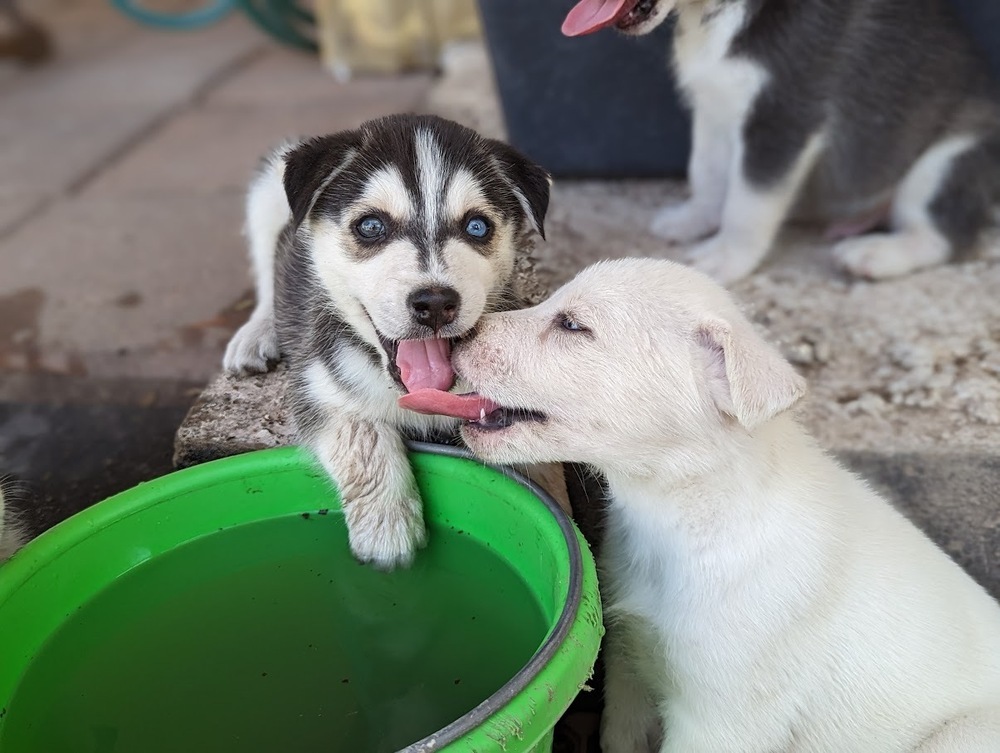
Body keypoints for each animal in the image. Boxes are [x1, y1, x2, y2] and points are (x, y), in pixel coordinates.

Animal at [225, 114, 564, 568]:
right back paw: (256, 334)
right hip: (267, 192)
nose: (435, 303)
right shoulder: (317, 385)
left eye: (477, 226)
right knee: (266, 275)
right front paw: (387, 531)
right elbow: (362, 433)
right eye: (371, 226)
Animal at [568, 0, 1000, 284]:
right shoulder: (715, 106)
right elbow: (706, 173)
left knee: (945, 234)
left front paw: (727, 257)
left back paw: (877, 253)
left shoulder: (782, 117)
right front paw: (693, 220)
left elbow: (747, 204)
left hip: (947, 162)